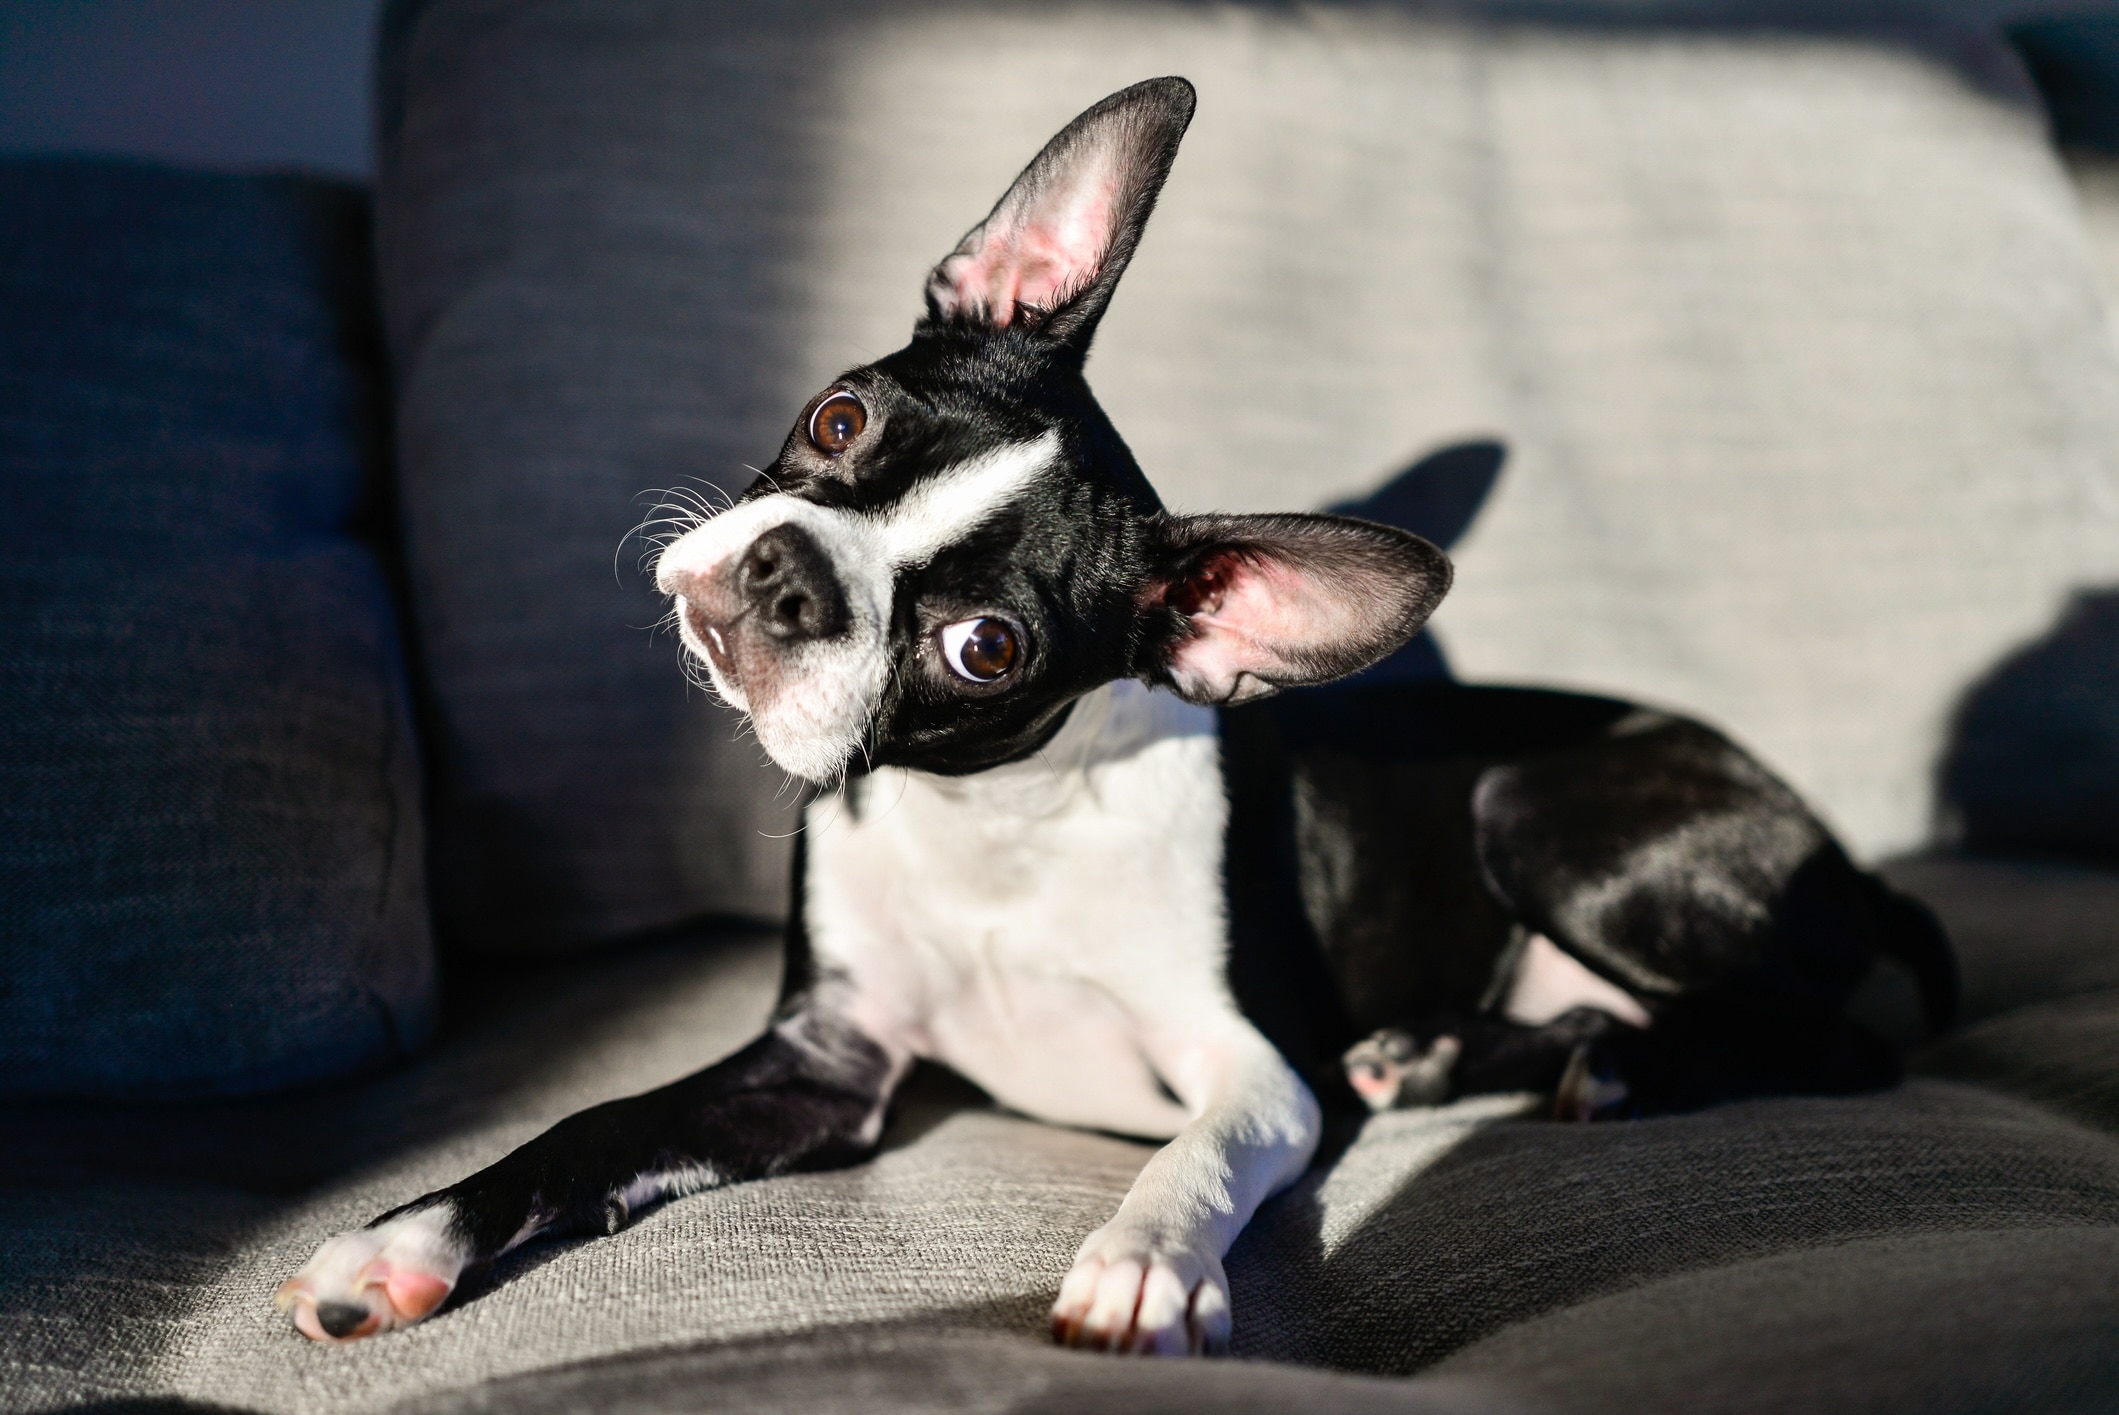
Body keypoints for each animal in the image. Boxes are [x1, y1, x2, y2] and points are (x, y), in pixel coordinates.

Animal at [277, 77, 1949, 1355]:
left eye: (983, 646)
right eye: (837, 416)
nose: (783, 574)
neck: (992, 824)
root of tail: (1829, 847)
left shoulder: (1252, 1069)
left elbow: (1196, 1155)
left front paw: (1142, 1263)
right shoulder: (821, 1062)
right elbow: (592, 1125)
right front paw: (403, 1237)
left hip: (1531, 806)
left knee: (1834, 1040)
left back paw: (1602, 1073)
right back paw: (1442, 1055)